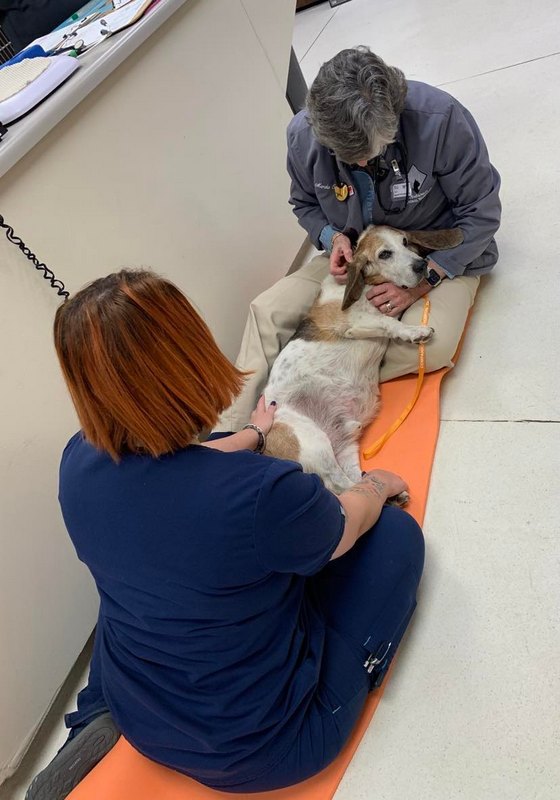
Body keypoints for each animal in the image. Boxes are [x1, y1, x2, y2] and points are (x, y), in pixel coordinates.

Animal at [264, 225, 462, 494]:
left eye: (405, 241)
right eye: (384, 254)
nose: (422, 265)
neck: (366, 285)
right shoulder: (354, 323)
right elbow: (389, 323)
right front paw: (415, 332)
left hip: (345, 447)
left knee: (353, 483)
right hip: (312, 440)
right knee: (341, 487)